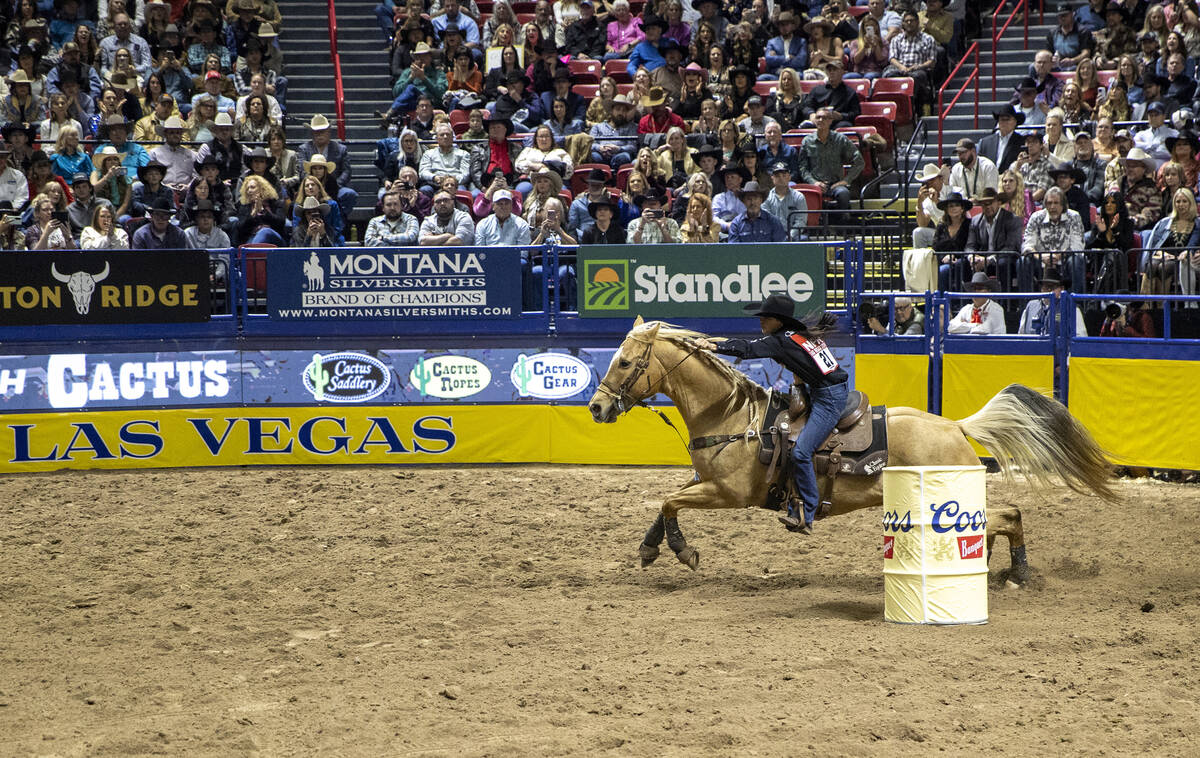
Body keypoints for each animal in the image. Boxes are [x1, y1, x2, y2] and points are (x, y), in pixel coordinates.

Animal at [590, 316, 1113, 582]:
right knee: (1006, 516)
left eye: (626, 362)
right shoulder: (705, 480)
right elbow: (666, 501)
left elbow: (669, 501)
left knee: (1007, 515)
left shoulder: (728, 493)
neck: (731, 416)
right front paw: (650, 548)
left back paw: (1017, 573)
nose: (596, 407)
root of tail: (954, 426)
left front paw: (682, 552)